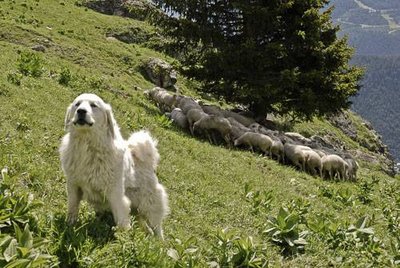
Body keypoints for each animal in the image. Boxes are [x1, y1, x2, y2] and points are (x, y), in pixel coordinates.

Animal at [59, 93, 169, 238]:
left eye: (93, 105)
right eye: (77, 104)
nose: (81, 111)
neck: (87, 146)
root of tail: (147, 163)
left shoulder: (116, 195)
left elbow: (122, 222)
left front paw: (122, 241)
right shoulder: (74, 186)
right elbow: (72, 208)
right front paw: (69, 225)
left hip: (150, 209)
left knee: (157, 230)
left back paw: (159, 243)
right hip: (138, 211)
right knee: (145, 226)